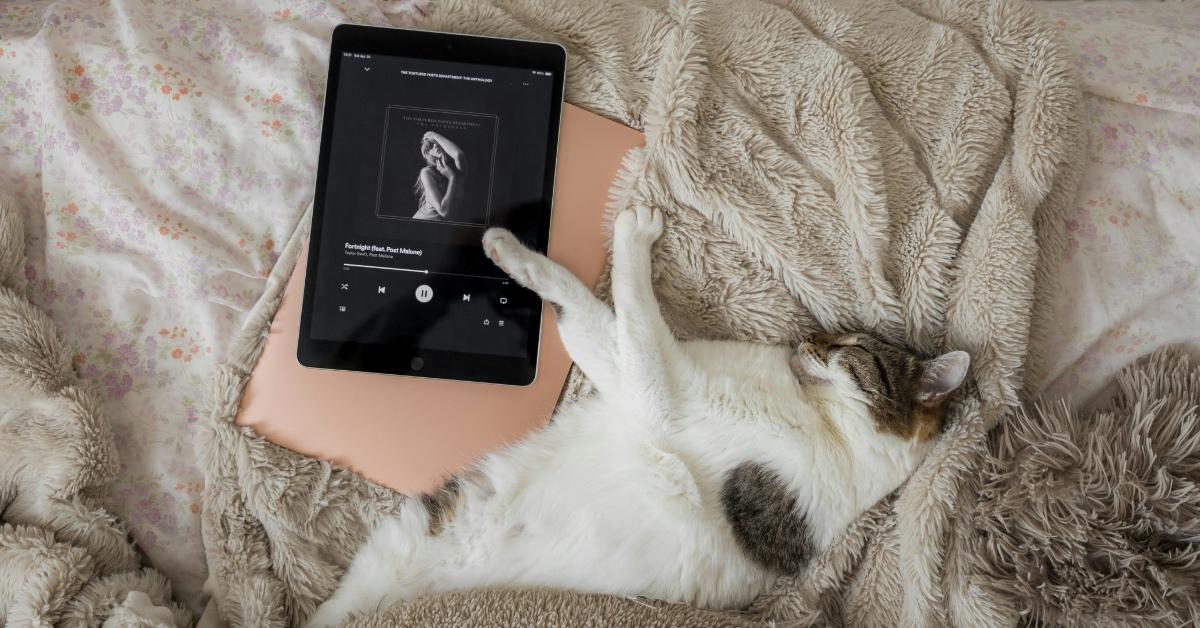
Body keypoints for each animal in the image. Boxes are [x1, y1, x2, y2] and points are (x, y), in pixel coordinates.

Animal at [304, 206, 969, 628]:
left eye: (853, 348)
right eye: (838, 332)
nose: (809, 337)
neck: (817, 415)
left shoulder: (660, 395)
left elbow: (636, 311)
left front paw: (635, 234)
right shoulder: (633, 380)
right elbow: (585, 306)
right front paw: (509, 250)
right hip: (392, 550)